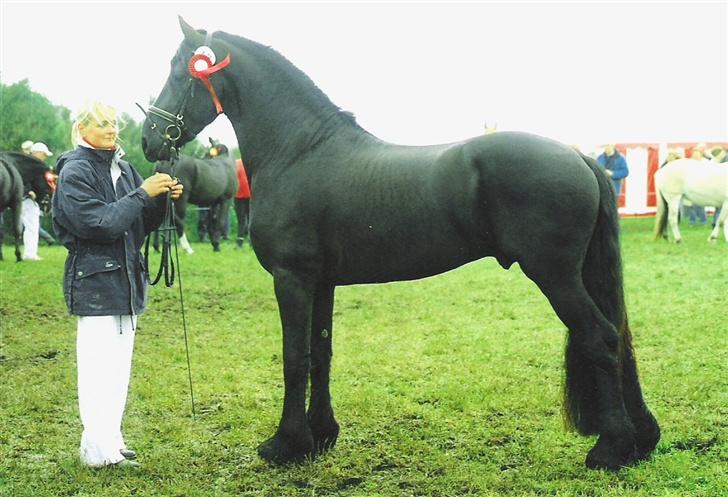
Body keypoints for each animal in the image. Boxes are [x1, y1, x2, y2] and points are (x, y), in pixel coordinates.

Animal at [139, 18, 664, 468]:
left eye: (178, 71)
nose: (149, 140)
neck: (300, 152)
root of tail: (579, 157)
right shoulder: (321, 283)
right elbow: (321, 354)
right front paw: (321, 435)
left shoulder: (292, 279)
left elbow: (294, 358)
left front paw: (286, 444)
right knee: (616, 337)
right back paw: (642, 439)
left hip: (555, 276)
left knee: (600, 337)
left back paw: (611, 449)